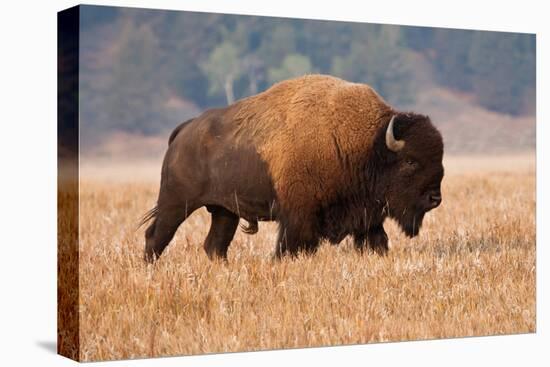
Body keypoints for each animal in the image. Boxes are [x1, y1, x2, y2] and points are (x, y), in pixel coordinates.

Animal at [141, 74, 444, 262]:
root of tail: (184, 131)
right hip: (176, 203)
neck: (367, 145)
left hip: (225, 211)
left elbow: (377, 241)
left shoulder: (366, 217)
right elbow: (291, 247)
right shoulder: (299, 217)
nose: (435, 198)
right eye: (410, 161)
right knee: (156, 236)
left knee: (215, 246)